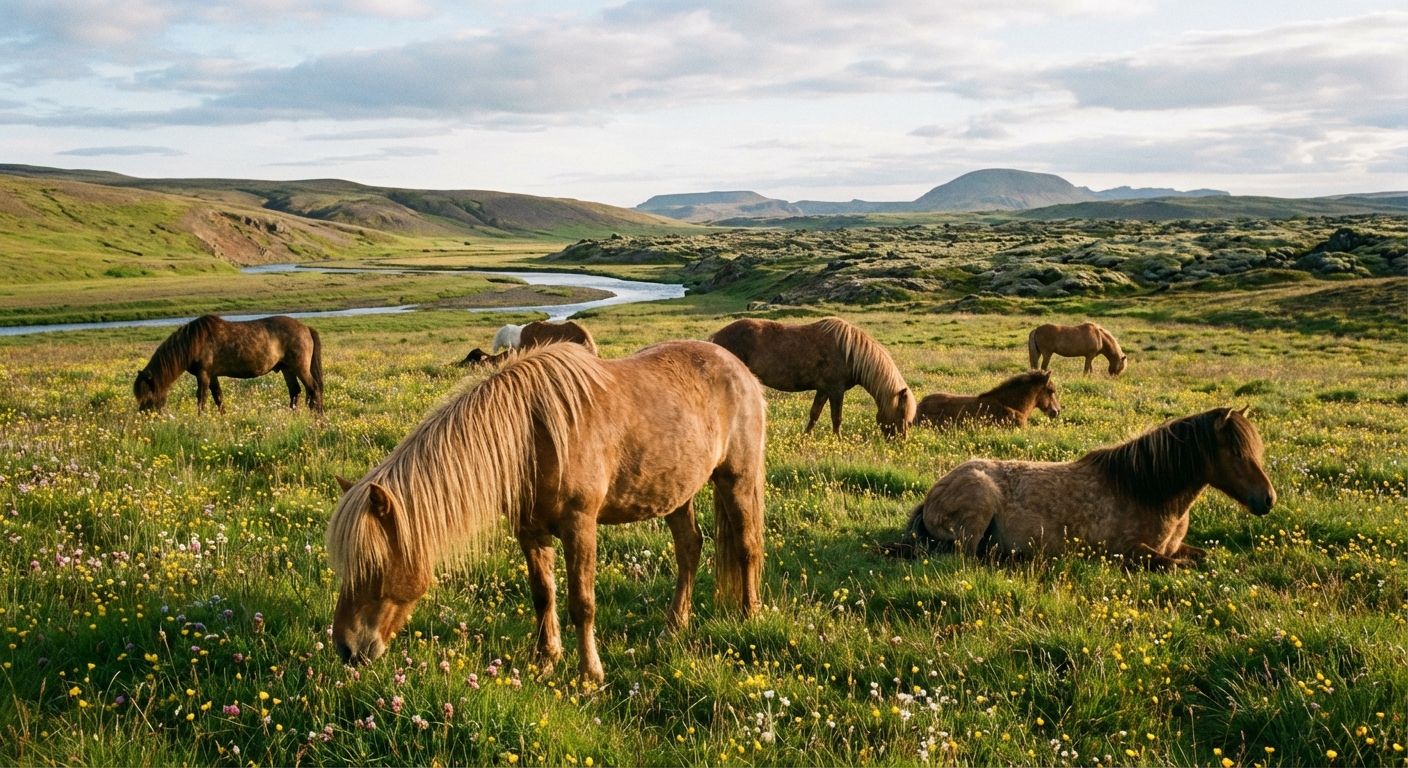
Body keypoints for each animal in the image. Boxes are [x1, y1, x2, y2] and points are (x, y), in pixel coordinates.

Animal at [133, 315, 323, 414]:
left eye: (148, 396)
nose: (143, 417)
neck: (195, 342)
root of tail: (306, 328)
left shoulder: (203, 374)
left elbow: (201, 398)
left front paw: (200, 419)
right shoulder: (212, 375)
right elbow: (218, 397)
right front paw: (222, 417)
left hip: (299, 367)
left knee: (313, 388)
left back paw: (317, 415)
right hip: (287, 369)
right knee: (295, 392)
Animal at [327, 341, 766, 681]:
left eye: (373, 567)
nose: (345, 648)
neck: (532, 435)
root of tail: (739, 367)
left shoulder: (580, 525)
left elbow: (581, 604)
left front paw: (590, 674)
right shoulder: (530, 531)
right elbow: (543, 595)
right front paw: (544, 661)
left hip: (737, 479)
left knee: (746, 546)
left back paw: (749, 615)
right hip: (675, 493)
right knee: (689, 549)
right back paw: (673, 627)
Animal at [709, 317, 915, 438]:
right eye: (902, 417)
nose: (901, 443)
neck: (850, 353)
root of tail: (716, 337)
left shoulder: (823, 390)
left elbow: (814, 414)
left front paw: (805, 438)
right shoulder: (836, 390)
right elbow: (836, 418)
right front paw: (838, 441)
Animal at [882, 407, 1274, 569]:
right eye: (1236, 452)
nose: (1268, 499)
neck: (1146, 492)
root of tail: (932, 495)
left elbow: (1201, 557)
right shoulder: (1128, 552)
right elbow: (1177, 565)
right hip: (977, 507)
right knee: (969, 556)